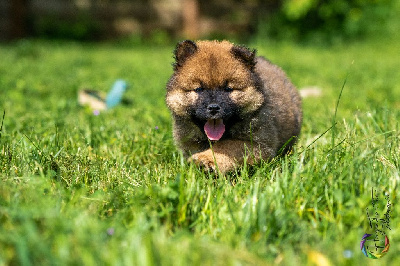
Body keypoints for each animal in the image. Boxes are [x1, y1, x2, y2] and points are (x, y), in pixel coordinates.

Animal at [166, 39, 304, 172]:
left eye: (228, 89)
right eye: (199, 89)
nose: (213, 107)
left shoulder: (260, 144)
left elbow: (227, 146)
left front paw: (206, 159)